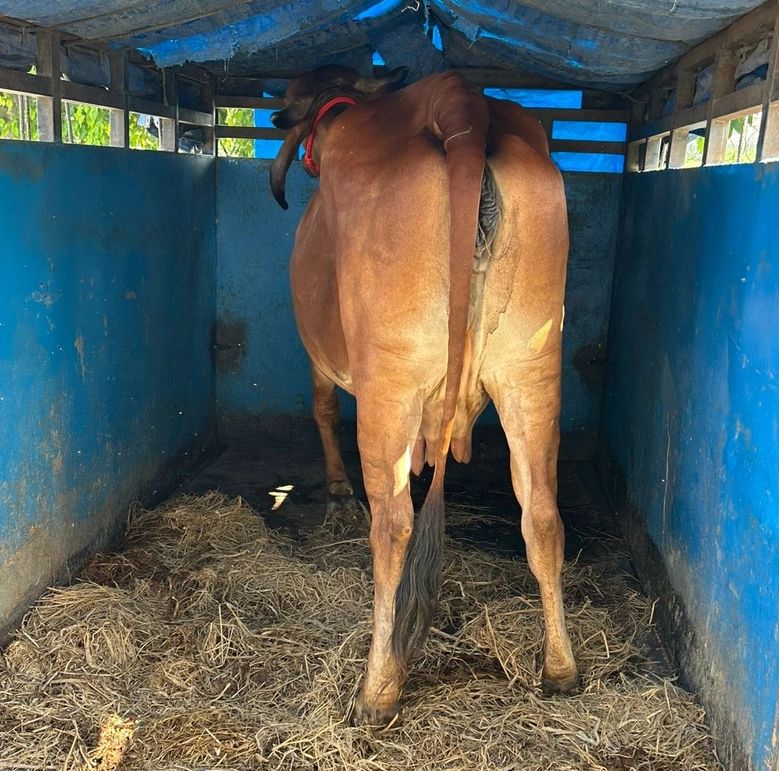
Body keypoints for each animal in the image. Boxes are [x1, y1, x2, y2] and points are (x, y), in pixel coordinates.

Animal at [269, 66, 577, 726]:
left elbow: (323, 410)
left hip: (392, 377)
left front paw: (337, 490)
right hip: (532, 367)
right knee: (542, 513)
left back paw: (377, 687)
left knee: (392, 526)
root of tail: (460, 106)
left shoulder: (320, 356)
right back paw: (560, 668)